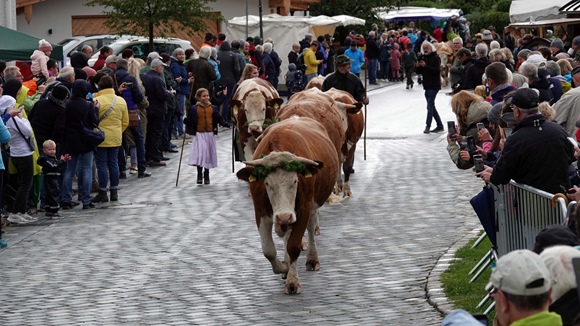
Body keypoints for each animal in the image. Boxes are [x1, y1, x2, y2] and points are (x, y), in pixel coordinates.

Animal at [237, 117, 340, 296]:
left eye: (295, 181)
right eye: (266, 183)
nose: (284, 216)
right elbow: (268, 250)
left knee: (311, 228)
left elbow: (293, 246)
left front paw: (292, 282)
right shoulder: (260, 212)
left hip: (312, 207)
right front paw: (283, 267)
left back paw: (312, 259)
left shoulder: (303, 210)